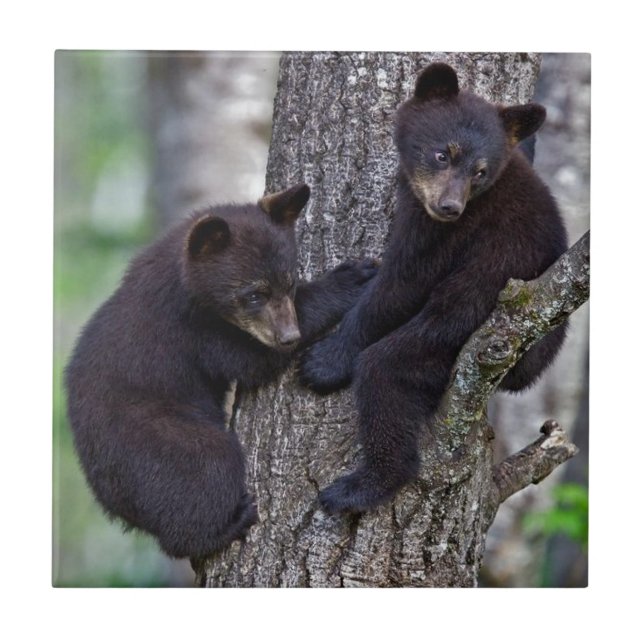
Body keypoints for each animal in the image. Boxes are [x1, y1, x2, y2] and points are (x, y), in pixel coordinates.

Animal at [65, 183, 377, 559]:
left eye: (288, 282)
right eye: (254, 293)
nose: (289, 337)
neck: (183, 282)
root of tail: (112, 504)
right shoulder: (192, 332)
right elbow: (250, 360)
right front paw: (350, 279)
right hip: (155, 440)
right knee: (208, 467)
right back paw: (231, 524)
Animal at [298, 62, 569, 514]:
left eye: (480, 171)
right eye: (443, 153)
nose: (450, 207)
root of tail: (527, 369)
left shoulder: (443, 232)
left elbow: (402, 284)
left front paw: (323, 361)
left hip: (449, 337)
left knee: (385, 374)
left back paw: (359, 488)